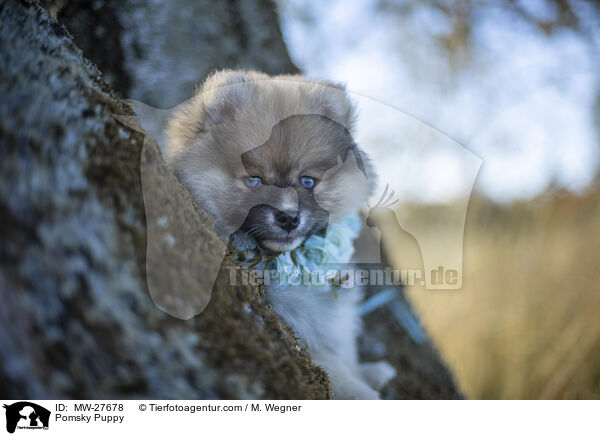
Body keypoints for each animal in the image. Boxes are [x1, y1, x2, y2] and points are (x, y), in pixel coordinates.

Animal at [166, 69, 396, 398]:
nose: (288, 217)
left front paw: (370, 373)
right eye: (255, 180)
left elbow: (344, 351)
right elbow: (332, 367)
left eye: (308, 181)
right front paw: (361, 389)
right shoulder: (294, 327)